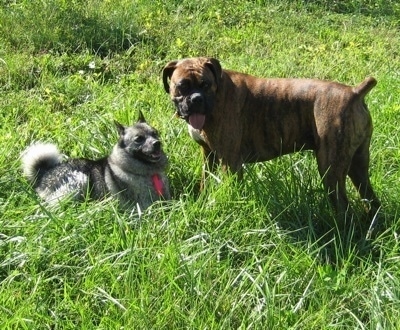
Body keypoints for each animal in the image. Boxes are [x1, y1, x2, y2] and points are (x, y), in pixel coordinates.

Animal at [21, 110, 170, 209]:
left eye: (155, 133)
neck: (149, 173)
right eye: (139, 139)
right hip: (79, 179)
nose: (157, 143)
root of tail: (44, 173)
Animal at [162, 57, 382, 219]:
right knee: (371, 199)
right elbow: (205, 182)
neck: (217, 95)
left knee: (343, 205)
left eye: (205, 85)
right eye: (182, 86)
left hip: (330, 168)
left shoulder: (230, 162)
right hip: (358, 165)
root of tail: (354, 92)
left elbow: (232, 189)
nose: (196, 99)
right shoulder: (209, 156)